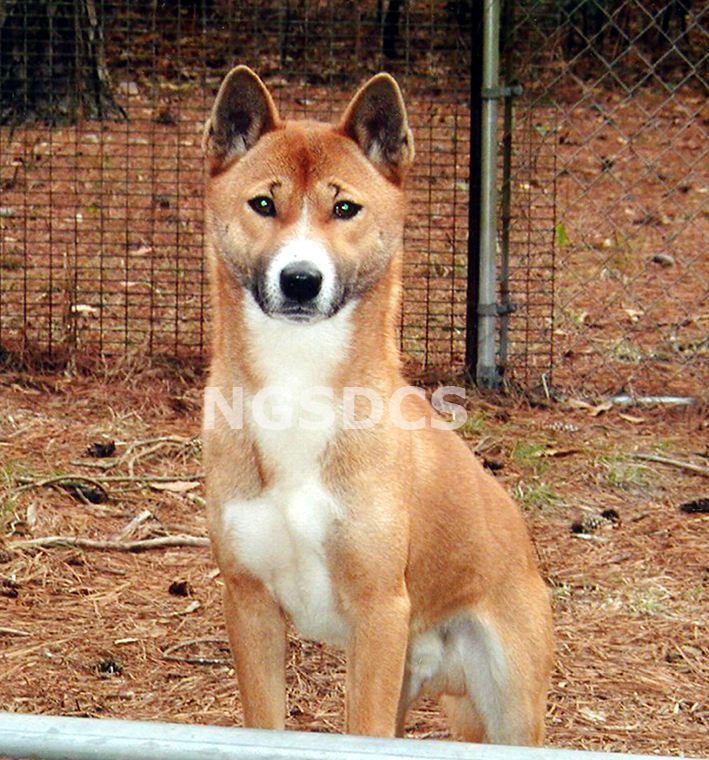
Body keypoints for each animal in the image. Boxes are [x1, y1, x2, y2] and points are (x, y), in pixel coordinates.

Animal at [201, 65, 552, 744]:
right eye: (263, 204)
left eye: (345, 208)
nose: (300, 280)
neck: (297, 386)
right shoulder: (249, 603)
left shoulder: (377, 610)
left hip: (508, 705)